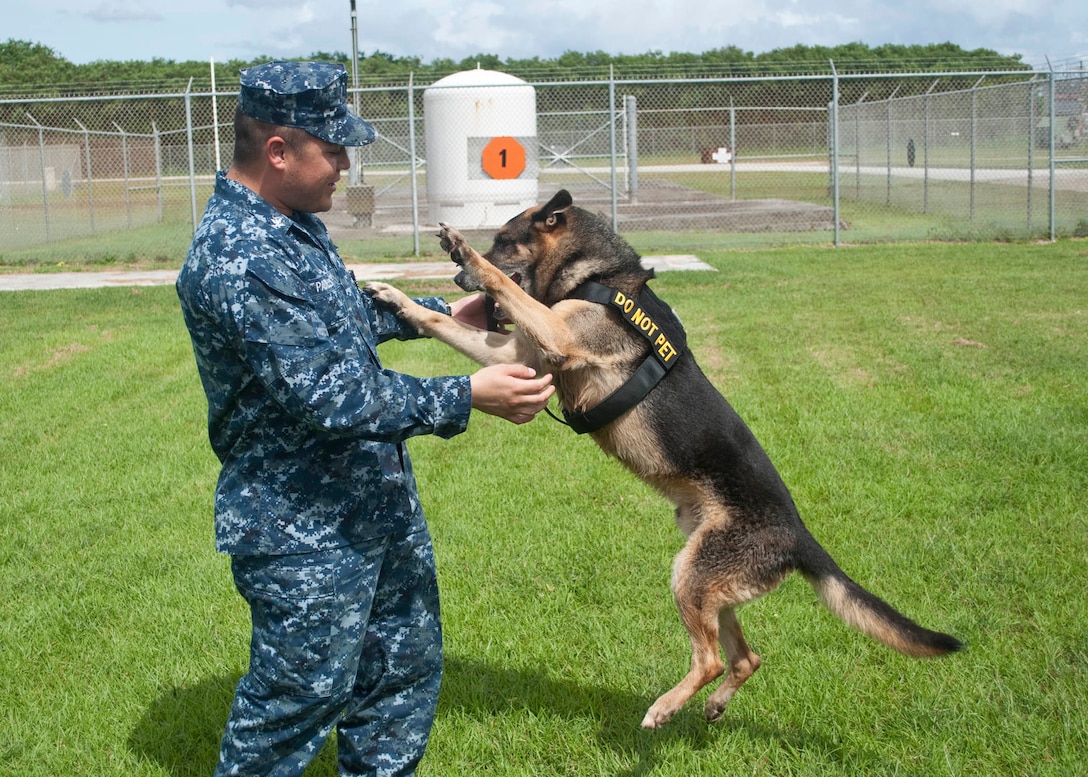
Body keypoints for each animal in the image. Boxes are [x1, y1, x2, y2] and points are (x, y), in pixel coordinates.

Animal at [367, 187, 961, 726]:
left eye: (504, 240)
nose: (454, 281)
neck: (598, 276)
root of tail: (799, 536)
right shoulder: (520, 353)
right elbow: (445, 324)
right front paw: (400, 300)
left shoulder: (553, 332)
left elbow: (505, 286)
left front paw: (465, 252)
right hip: (707, 579)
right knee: (746, 659)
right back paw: (714, 705)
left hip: (691, 576)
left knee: (712, 660)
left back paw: (667, 706)